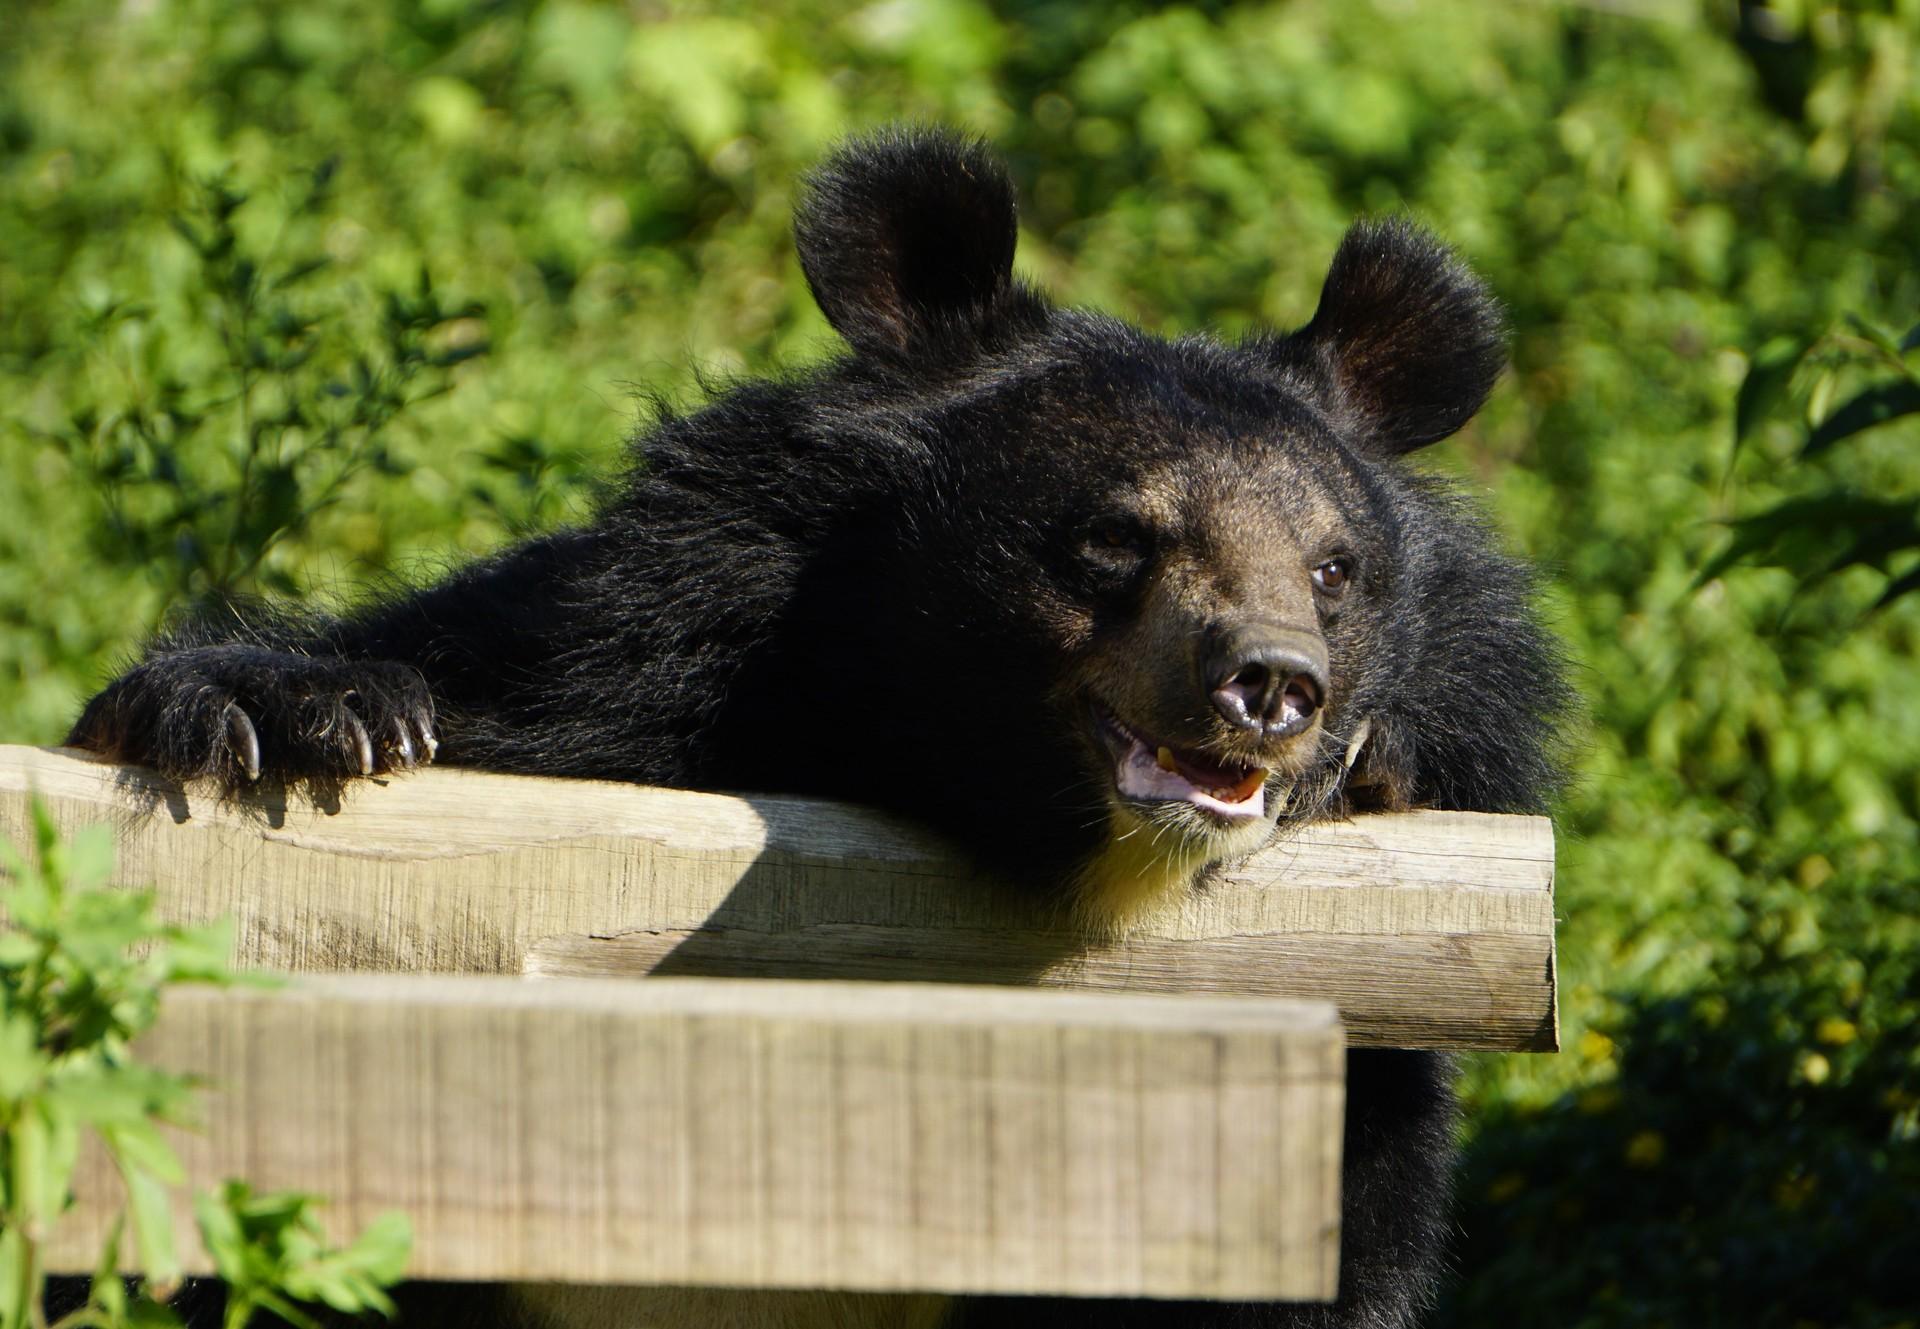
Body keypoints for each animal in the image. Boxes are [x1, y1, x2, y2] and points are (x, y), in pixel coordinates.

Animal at [71, 126, 1559, 1329]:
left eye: (1334, 570)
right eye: (1113, 539)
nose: (1273, 685)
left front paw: (1379, 768)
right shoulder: (624, 664)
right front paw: (290, 717)